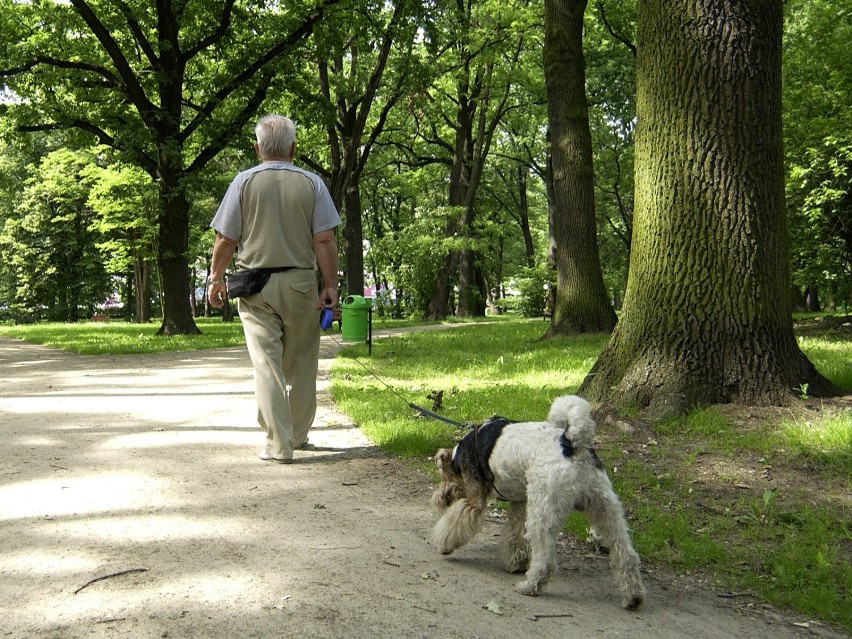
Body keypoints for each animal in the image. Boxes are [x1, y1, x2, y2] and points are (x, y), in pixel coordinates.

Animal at [432, 396, 644, 608]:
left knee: (545, 560)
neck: (459, 455)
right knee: (627, 554)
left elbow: (454, 524)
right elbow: (515, 535)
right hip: (605, 508)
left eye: (442, 475)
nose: (439, 499)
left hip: (544, 511)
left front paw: (444, 545)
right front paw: (516, 563)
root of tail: (571, 443)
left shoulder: (475, 501)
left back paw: (529, 585)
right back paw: (633, 597)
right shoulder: (519, 503)